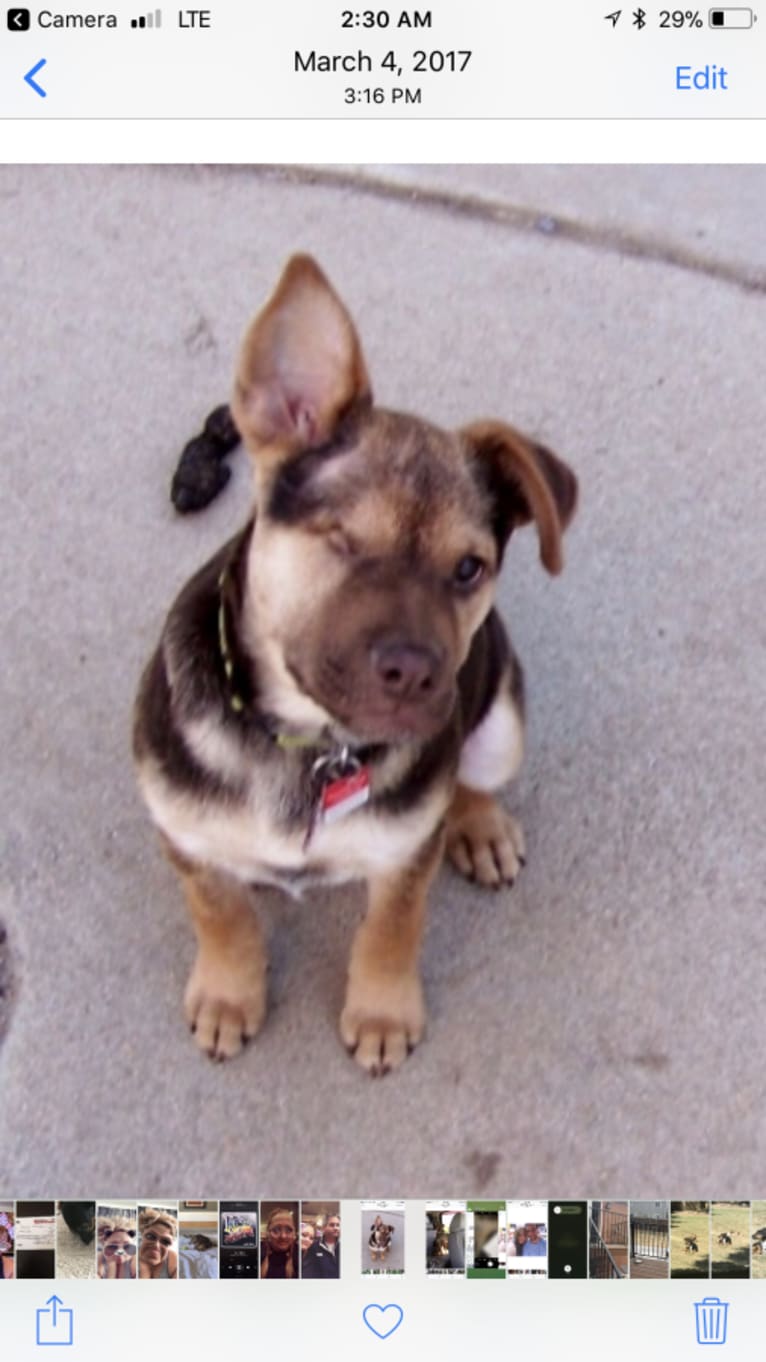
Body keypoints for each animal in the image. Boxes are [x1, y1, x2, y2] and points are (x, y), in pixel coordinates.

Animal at [132, 250, 572, 1067]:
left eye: (469, 568)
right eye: (341, 539)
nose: (415, 675)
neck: (310, 745)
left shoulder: (403, 857)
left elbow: (392, 930)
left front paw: (382, 1012)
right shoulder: (187, 836)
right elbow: (220, 915)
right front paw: (229, 993)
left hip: (502, 723)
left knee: (470, 781)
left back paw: (480, 827)